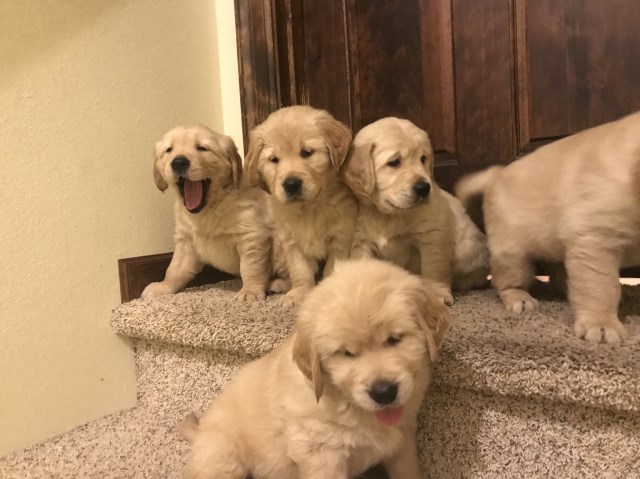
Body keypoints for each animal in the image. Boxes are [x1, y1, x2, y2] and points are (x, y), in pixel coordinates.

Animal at [143, 125, 290, 302]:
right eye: (169, 150)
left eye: (202, 148)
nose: (178, 162)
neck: (209, 208)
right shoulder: (186, 239)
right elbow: (174, 268)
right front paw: (164, 287)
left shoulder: (251, 236)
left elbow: (250, 268)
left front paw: (250, 291)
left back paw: (279, 284)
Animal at [180, 258, 450, 479]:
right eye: (346, 353)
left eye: (394, 339)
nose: (383, 392)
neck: (349, 404)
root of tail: (200, 431)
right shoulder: (321, 455)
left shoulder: (403, 442)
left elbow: (408, 471)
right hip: (224, 459)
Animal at [244, 106, 358, 308]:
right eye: (274, 159)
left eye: (306, 152)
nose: (291, 184)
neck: (309, 207)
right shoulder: (292, 243)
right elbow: (300, 272)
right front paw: (299, 294)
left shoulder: (341, 239)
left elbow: (331, 270)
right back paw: (280, 284)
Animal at [344, 117, 490, 304]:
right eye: (394, 162)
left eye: (423, 159)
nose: (424, 188)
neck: (389, 214)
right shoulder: (362, 243)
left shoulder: (431, 236)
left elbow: (434, 270)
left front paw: (437, 295)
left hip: (467, 249)